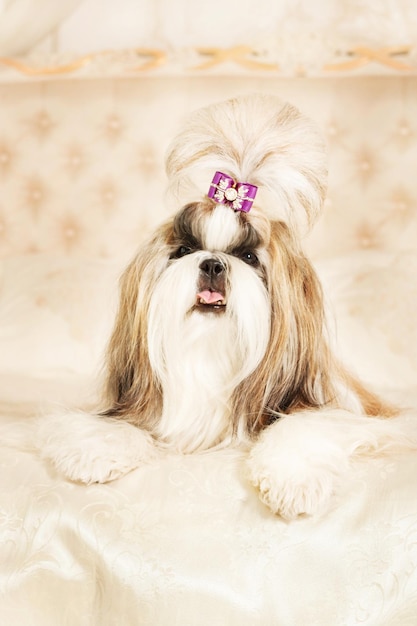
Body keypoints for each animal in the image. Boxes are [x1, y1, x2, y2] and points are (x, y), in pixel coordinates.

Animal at [38, 94, 412, 516]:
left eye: (248, 257)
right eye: (184, 251)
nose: (213, 264)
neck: (210, 357)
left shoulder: (339, 408)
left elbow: (307, 423)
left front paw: (292, 479)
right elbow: (120, 423)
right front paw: (97, 448)